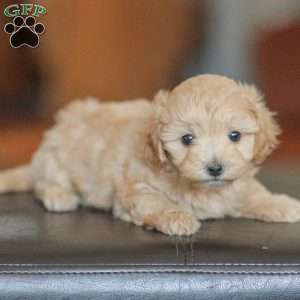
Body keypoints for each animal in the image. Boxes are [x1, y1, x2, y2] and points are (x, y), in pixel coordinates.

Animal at [0, 74, 300, 236]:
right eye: (187, 139)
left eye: (235, 135)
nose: (215, 168)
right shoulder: (136, 189)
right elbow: (157, 202)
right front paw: (178, 217)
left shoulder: (238, 184)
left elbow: (254, 193)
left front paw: (282, 204)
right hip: (56, 156)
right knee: (43, 183)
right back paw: (59, 195)